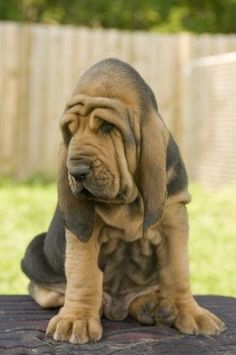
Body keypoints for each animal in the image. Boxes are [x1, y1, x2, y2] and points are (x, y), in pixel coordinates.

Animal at [21, 59, 226, 344]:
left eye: (107, 127)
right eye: (69, 131)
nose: (76, 171)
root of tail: (117, 307)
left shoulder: (174, 217)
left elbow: (177, 271)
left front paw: (191, 313)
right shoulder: (85, 233)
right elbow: (83, 274)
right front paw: (76, 320)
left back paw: (153, 306)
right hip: (34, 252)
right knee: (49, 290)